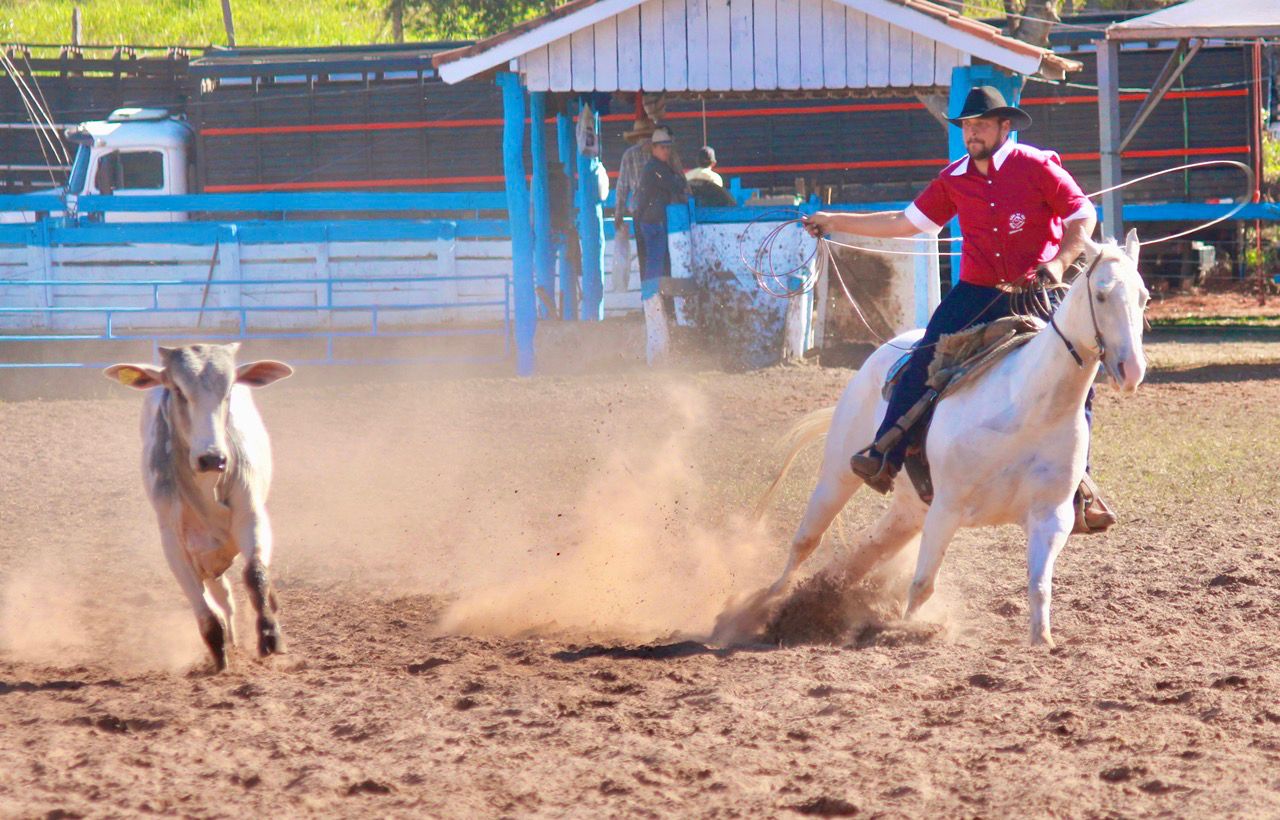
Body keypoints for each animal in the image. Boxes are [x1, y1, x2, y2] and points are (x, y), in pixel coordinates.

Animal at [721, 230, 1152, 644]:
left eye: (1144, 296)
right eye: (1101, 293)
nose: (1131, 369)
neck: (1029, 405)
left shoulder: (1052, 516)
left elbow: (1039, 586)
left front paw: (1041, 640)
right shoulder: (948, 507)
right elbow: (923, 583)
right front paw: (905, 631)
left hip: (911, 508)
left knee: (868, 546)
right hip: (838, 474)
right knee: (806, 539)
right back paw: (766, 603)